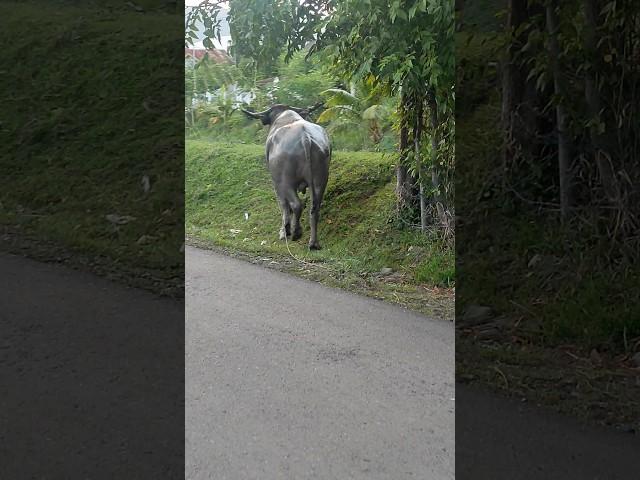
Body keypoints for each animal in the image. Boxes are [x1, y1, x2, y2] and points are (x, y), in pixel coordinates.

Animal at [240, 102, 330, 249]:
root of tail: (305, 137)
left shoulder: (276, 183)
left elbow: (284, 205)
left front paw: (283, 231)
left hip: (285, 182)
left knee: (296, 205)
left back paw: (295, 232)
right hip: (320, 180)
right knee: (314, 208)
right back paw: (313, 243)